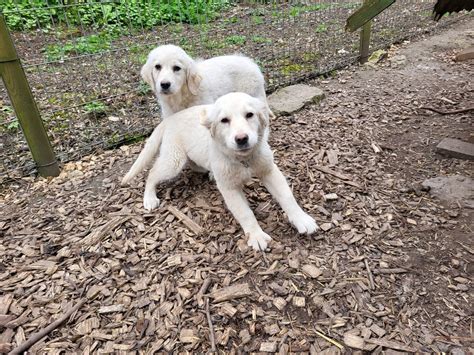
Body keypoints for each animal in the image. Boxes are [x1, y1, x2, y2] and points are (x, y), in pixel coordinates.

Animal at [121, 93, 318, 252]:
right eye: (224, 120)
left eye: (249, 115)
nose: (241, 139)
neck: (243, 160)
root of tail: (169, 119)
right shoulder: (229, 188)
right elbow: (245, 213)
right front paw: (256, 236)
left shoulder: (269, 171)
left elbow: (287, 197)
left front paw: (302, 219)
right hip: (173, 161)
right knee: (152, 173)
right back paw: (149, 198)